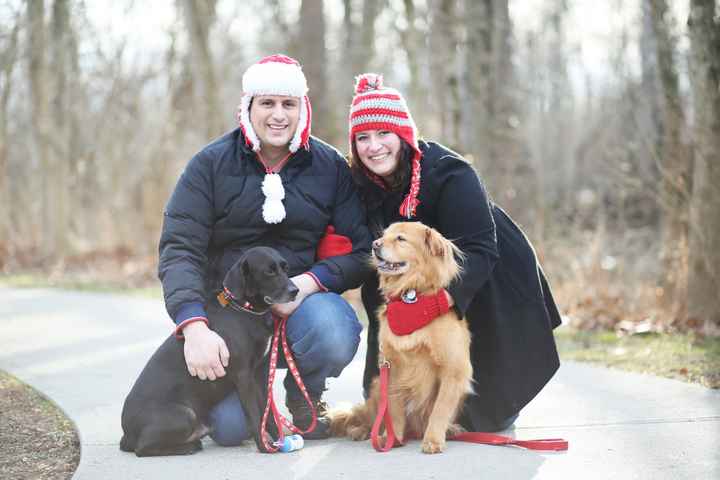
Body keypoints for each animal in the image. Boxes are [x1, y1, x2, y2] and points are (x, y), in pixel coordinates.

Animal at [119, 248, 296, 458]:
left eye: (285, 267)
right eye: (269, 271)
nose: (295, 290)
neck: (244, 310)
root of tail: (127, 433)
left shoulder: (259, 374)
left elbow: (266, 413)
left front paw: (277, 440)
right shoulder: (243, 377)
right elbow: (254, 415)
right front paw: (264, 446)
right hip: (185, 415)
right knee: (142, 448)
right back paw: (188, 447)